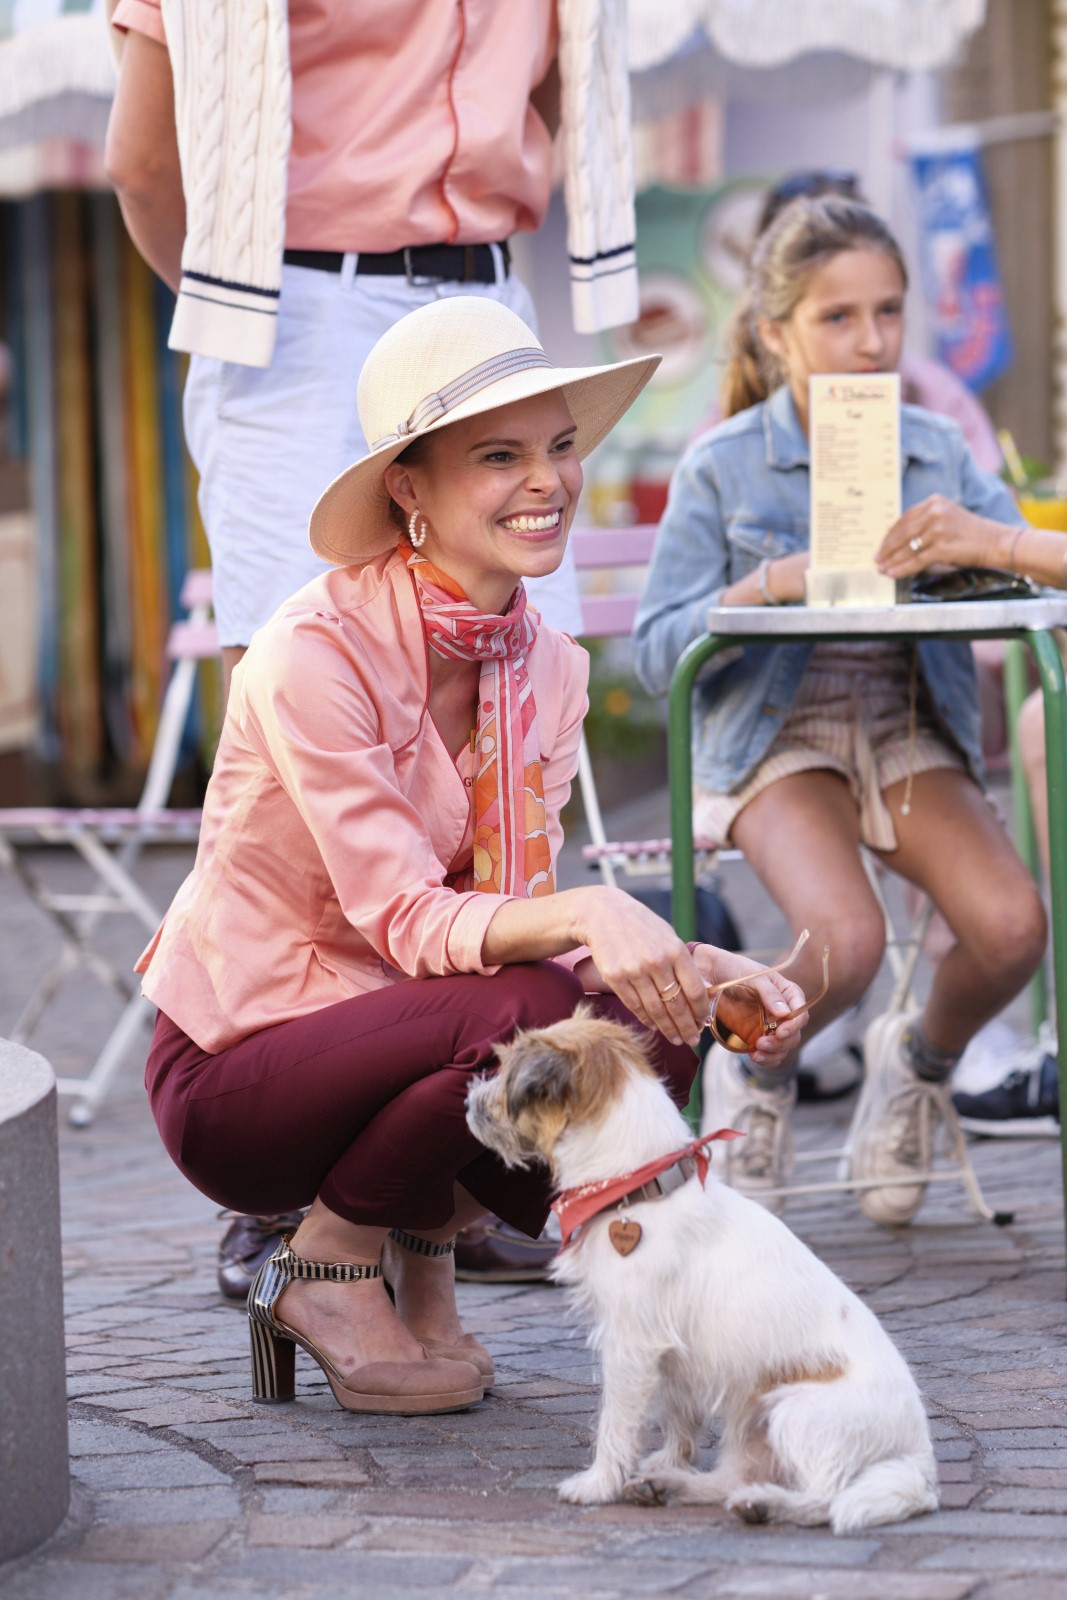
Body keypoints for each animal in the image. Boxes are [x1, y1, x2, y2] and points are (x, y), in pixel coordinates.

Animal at [470, 1011, 940, 1536]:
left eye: (508, 1075)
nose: (469, 1100)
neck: (637, 1188)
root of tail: (919, 1463)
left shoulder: (632, 1343)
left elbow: (616, 1422)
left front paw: (599, 1483)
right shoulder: (674, 1355)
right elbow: (679, 1416)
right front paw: (670, 1463)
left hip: (794, 1413)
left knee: (826, 1497)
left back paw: (764, 1504)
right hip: (751, 1419)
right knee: (735, 1476)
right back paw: (674, 1485)